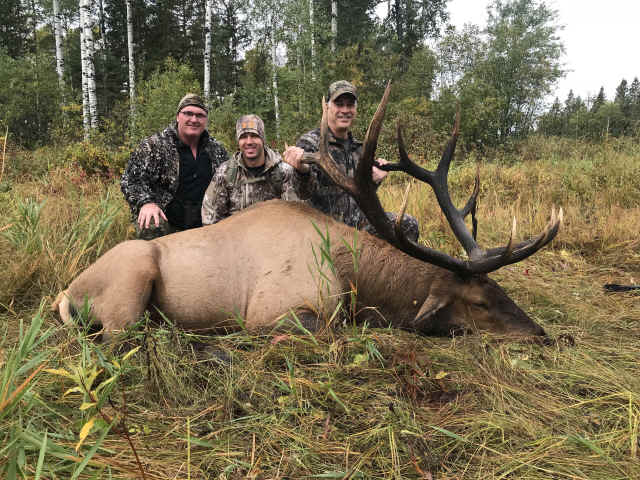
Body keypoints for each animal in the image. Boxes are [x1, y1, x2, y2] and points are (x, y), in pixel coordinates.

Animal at [52, 83, 561, 341]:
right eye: (479, 303)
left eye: (500, 289)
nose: (543, 334)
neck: (356, 279)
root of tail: (66, 294)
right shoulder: (273, 310)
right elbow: (331, 332)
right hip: (131, 285)